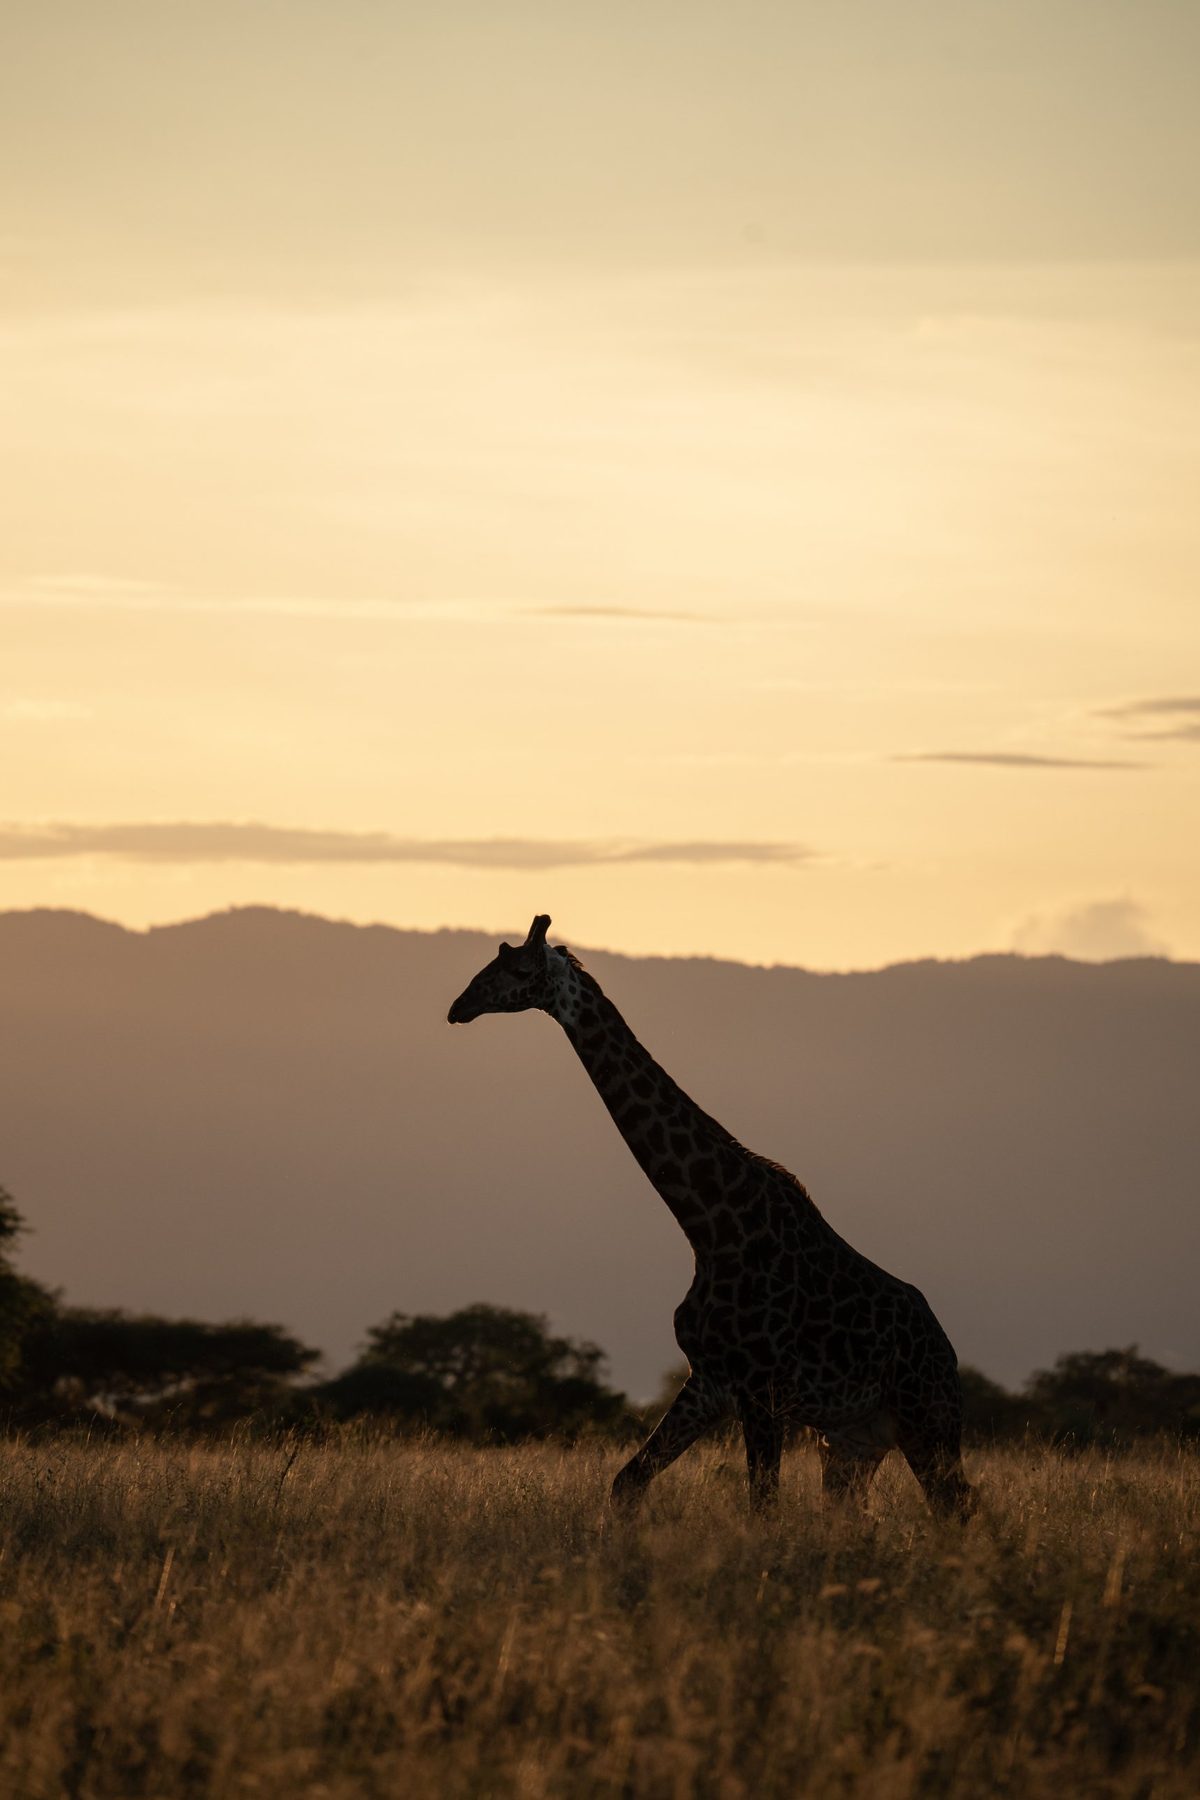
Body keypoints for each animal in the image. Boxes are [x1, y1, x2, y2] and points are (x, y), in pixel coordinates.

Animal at [447, 915, 975, 1521]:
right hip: (852, 1439)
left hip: (926, 1419)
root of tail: (947, 1351)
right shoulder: (711, 1380)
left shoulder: (763, 1390)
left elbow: (763, 1509)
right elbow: (627, 1483)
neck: (709, 1227)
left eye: (515, 969)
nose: (459, 1006)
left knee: (956, 1507)